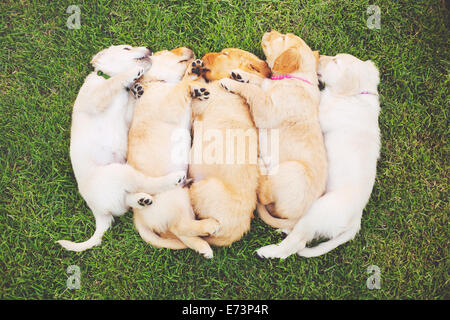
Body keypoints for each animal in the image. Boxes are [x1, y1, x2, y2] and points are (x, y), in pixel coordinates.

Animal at [127, 47, 221, 258]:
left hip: (184, 199)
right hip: (175, 199)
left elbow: (185, 83)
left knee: (182, 233)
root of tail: (138, 216)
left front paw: (195, 76)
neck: (157, 83)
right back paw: (210, 225)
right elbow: (181, 85)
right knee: (180, 227)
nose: (189, 48)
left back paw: (203, 247)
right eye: (166, 51)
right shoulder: (167, 105)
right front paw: (193, 79)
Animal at [186, 48, 270, 246]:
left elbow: (188, 83)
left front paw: (192, 69)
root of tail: (233, 233)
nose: (205, 55)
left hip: (203, 188)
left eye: (224, 54)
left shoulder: (202, 100)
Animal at [219, 30, 326, 235]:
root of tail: (297, 219)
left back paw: (261, 166)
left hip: (292, 171)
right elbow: (261, 82)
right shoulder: (267, 91)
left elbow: (254, 90)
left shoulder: (267, 110)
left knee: (263, 196)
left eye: (283, 37)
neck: (295, 78)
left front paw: (231, 82)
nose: (269, 30)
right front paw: (240, 74)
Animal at [256, 52, 380, 258]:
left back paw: (269, 251)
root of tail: (355, 222)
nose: (319, 55)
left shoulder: (322, 111)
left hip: (316, 212)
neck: (358, 94)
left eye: (336, 61)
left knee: (295, 244)